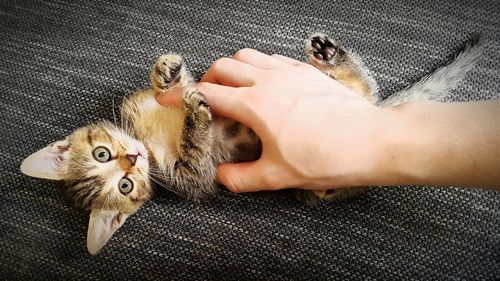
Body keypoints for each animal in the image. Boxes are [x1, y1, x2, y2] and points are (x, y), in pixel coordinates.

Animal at [20, 33, 484, 254]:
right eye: (125, 186)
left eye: (103, 154)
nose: (132, 159)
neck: (148, 140)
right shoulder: (194, 178)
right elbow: (196, 148)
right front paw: (195, 118)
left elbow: (176, 86)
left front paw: (168, 75)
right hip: (325, 182)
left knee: (362, 83)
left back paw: (329, 53)